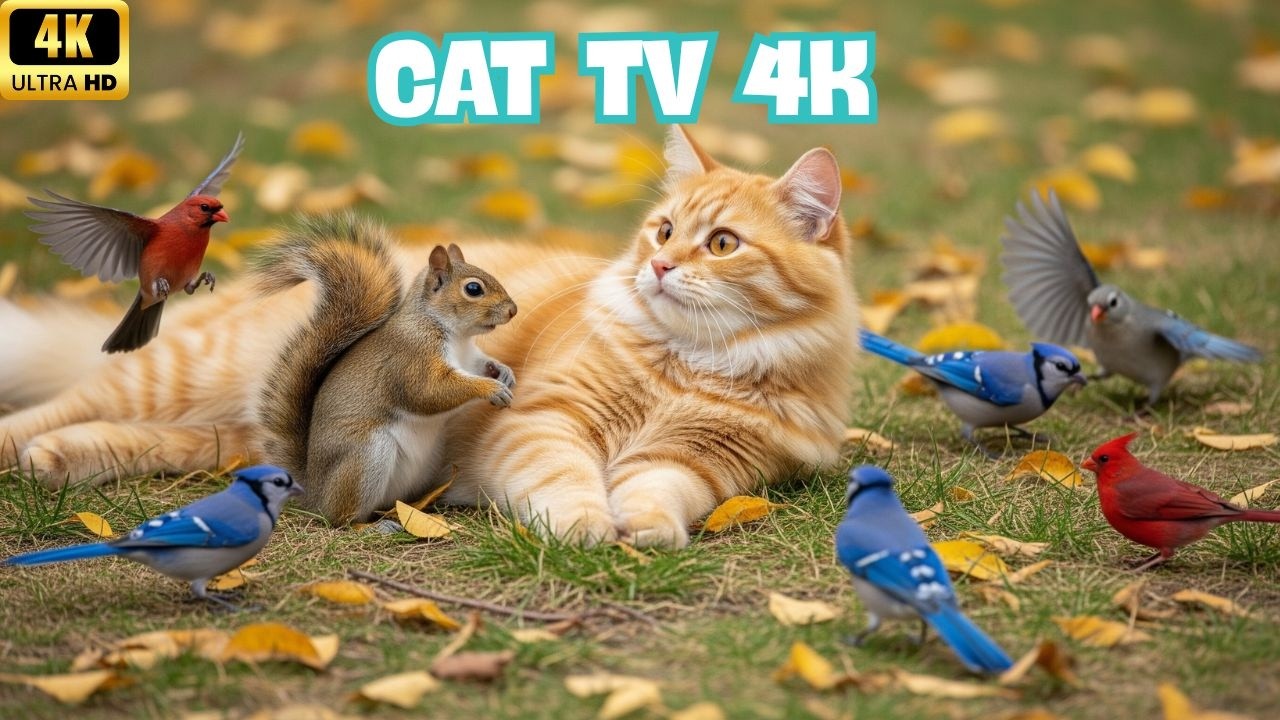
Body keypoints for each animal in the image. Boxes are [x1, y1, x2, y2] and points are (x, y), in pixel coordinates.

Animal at [255, 214, 518, 525]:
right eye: (473, 289)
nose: (513, 310)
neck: (457, 336)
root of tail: (315, 495)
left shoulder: (469, 357)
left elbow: (480, 364)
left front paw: (503, 371)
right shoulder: (411, 358)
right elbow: (428, 392)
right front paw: (490, 388)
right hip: (366, 455)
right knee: (342, 518)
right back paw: (372, 526)